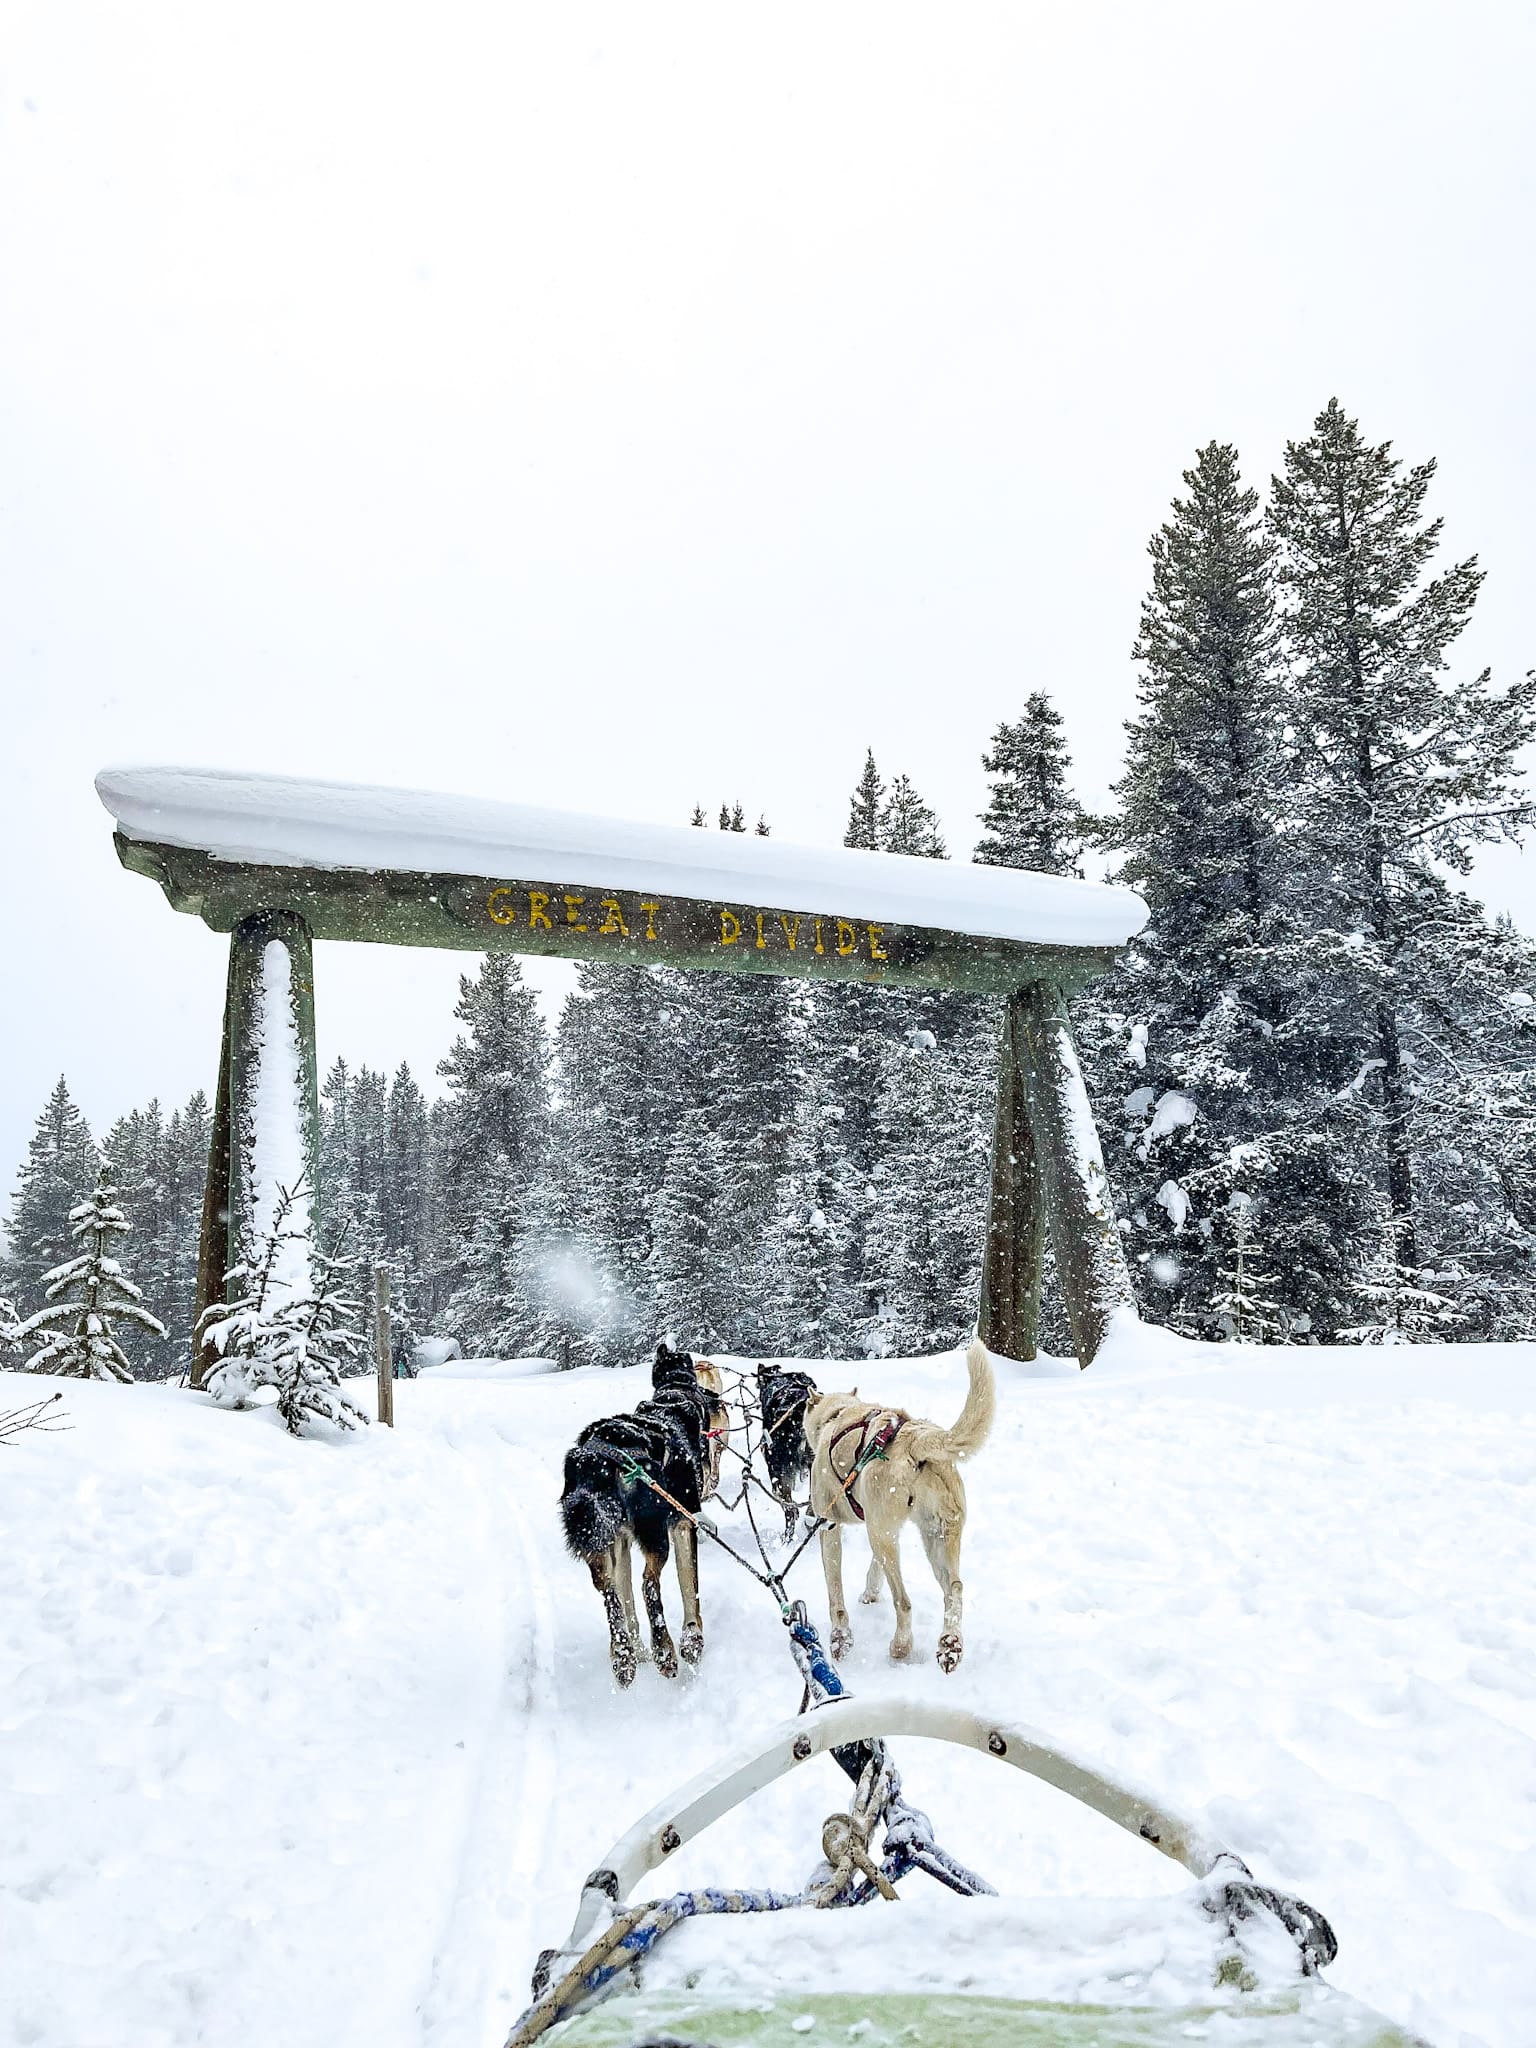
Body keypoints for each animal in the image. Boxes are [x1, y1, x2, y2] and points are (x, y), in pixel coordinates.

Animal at [561, 1335, 729, 1687]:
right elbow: (689, 1586)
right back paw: (664, 1650)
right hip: (654, 1535)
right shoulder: (683, 1522)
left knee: (609, 1589)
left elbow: (624, 1593)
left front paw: (636, 1650)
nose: (715, 1400)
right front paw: (692, 1639)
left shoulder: (622, 1540)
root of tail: (602, 1454)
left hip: (599, 1537)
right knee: (648, 1584)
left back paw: (624, 1656)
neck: (673, 1400)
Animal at [798, 1335, 1003, 1671]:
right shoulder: (879, 1526)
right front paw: (870, 1592)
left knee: (904, 1601)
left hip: (883, 1534)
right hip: (935, 1534)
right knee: (954, 1589)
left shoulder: (830, 1526)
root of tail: (915, 1439)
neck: (838, 1416)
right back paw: (950, 1644)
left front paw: (840, 1639)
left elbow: (835, 1595)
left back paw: (901, 1646)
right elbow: (873, 1569)